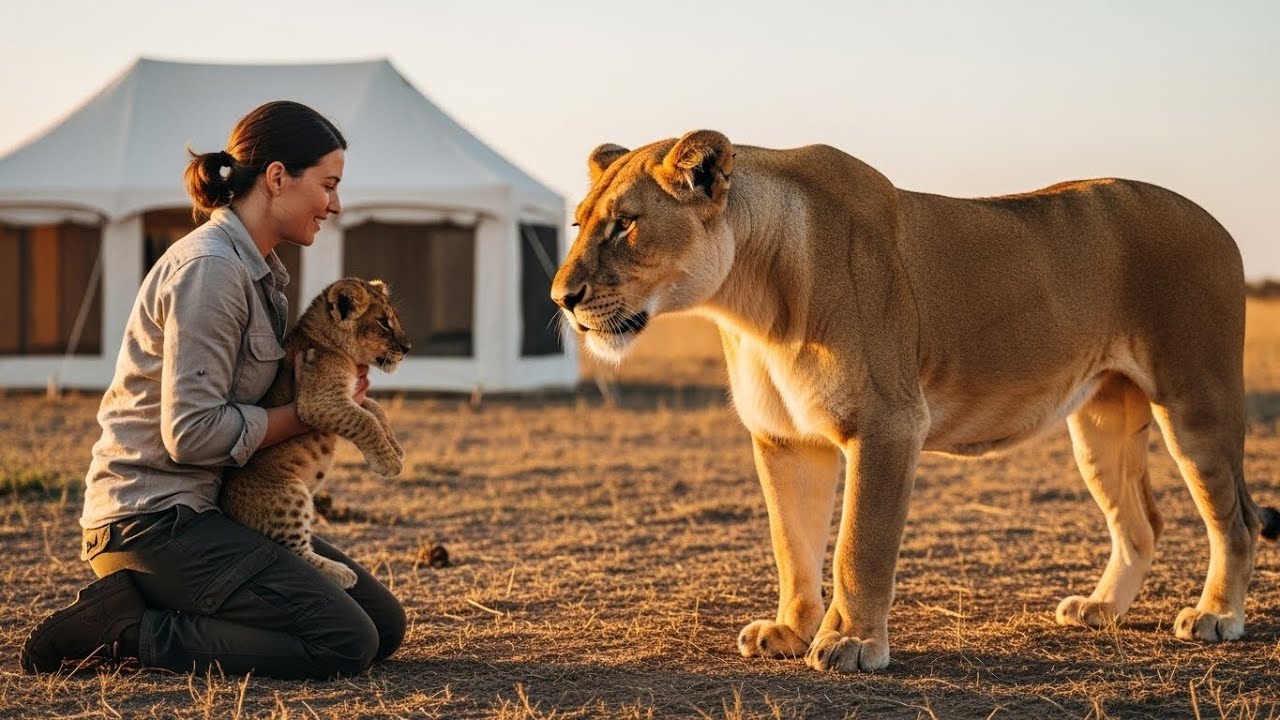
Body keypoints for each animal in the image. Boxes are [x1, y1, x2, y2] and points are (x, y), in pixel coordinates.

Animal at [220, 277, 411, 588]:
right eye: (383, 322)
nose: (408, 348)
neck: (331, 344)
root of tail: (225, 509)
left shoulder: (350, 395)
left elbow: (376, 410)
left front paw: (396, 449)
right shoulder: (317, 401)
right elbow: (365, 421)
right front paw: (389, 463)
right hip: (288, 495)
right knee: (293, 550)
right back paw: (341, 572)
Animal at [550, 130, 1280, 672]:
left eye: (624, 226)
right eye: (580, 223)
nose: (561, 297)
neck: (747, 307)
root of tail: (1217, 224)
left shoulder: (887, 423)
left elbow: (858, 546)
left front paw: (850, 643)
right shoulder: (785, 440)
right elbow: (792, 544)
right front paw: (790, 631)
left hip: (1197, 403)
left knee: (1236, 520)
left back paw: (1217, 616)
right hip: (1101, 421)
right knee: (1140, 521)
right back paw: (1101, 610)